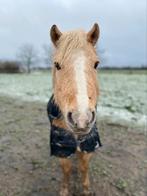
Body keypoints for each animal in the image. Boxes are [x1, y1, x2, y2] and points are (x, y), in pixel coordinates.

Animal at [47, 23, 101, 195]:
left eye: (96, 64)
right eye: (57, 65)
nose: (81, 118)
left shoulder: (89, 144)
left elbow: (84, 167)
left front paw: (86, 189)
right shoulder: (61, 147)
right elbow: (66, 169)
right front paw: (64, 190)